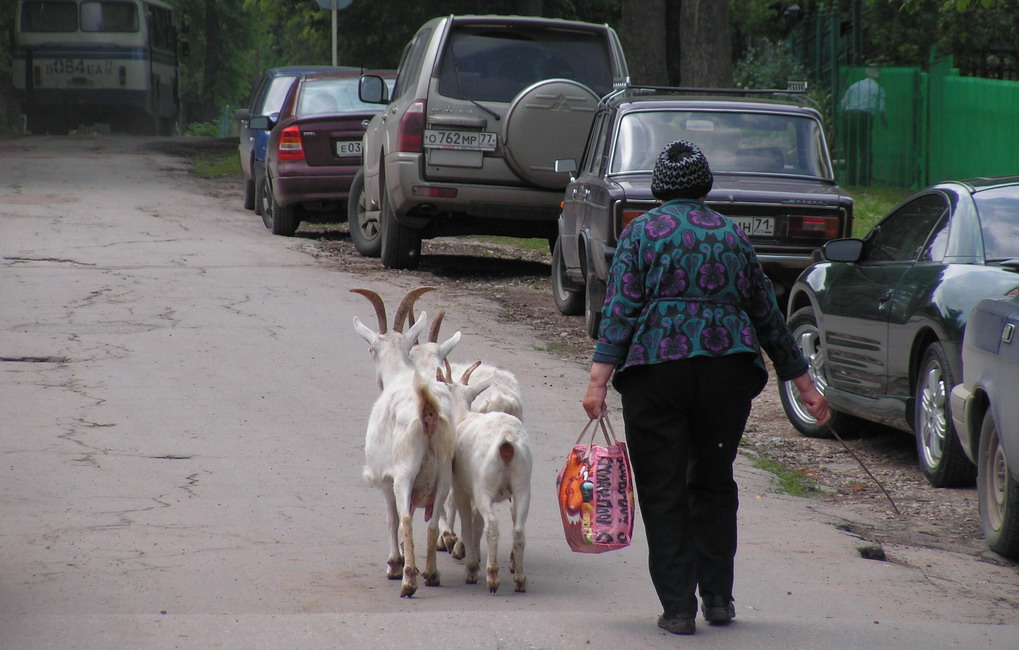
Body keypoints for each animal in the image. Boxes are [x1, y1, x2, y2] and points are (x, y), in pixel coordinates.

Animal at [354, 289, 458, 603]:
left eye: (370, 349)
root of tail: (427, 408)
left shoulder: (385, 479)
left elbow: (392, 518)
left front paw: (394, 564)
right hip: (444, 474)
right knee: (433, 520)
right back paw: (432, 574)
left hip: (405, 473)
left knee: (408, 518)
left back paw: (409, 581)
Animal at [440, 362, 533, 594]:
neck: (464, 416)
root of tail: (507, 442)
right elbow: (476, 522)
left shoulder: (462, 488)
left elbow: (467, 522)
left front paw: (471, 565)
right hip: (522, 485)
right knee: (518, 529)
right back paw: (520, 579)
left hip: (485, 487)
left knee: (492, 525)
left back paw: (492, 577)